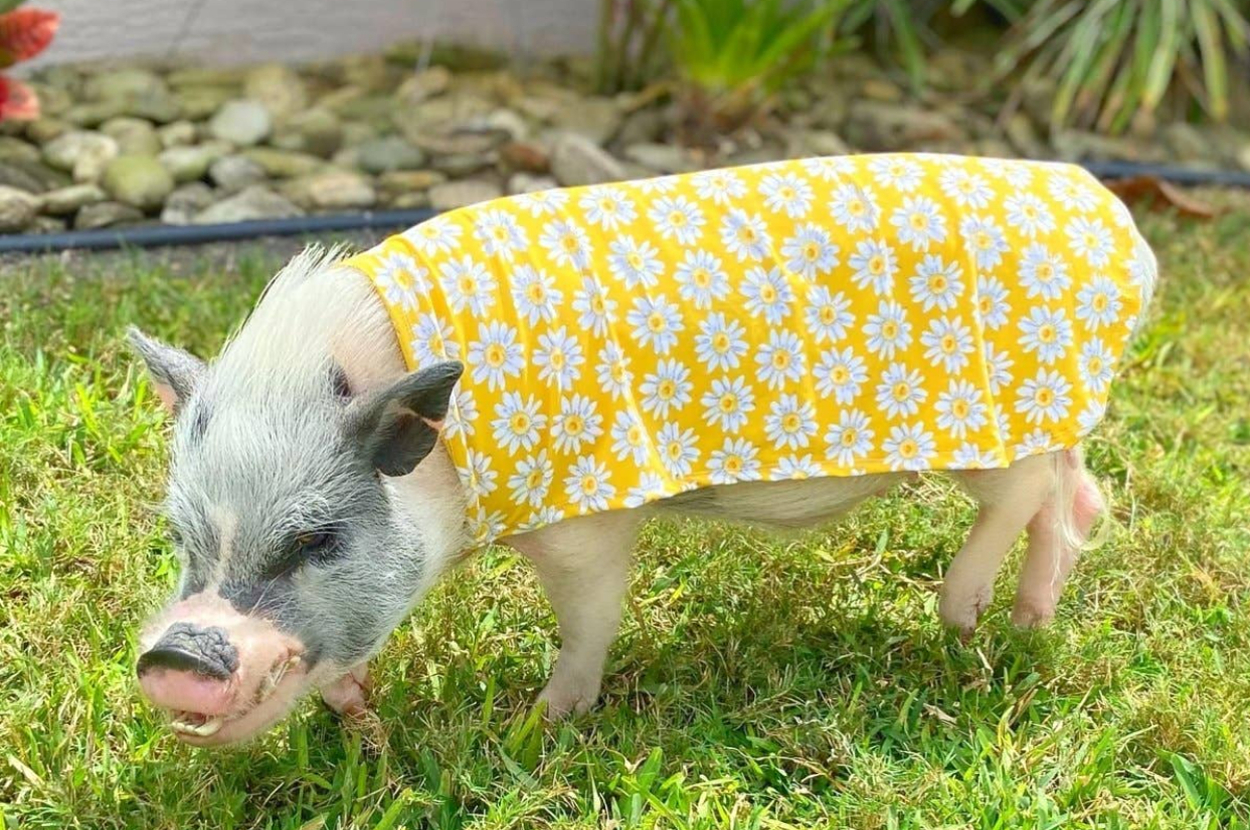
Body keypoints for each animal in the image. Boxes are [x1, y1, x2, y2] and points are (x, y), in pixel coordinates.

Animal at [130, 153, 1156, 746]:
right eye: (182, 541)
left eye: (317, 540)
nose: (175, 655)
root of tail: (1119, 221)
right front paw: (361, 709)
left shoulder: (586, 521)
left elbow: (590, 614)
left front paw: (543, 721)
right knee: (1076, 498)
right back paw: (1025, 626)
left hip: (995, 420)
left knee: (1026, 494)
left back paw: (961, 616)